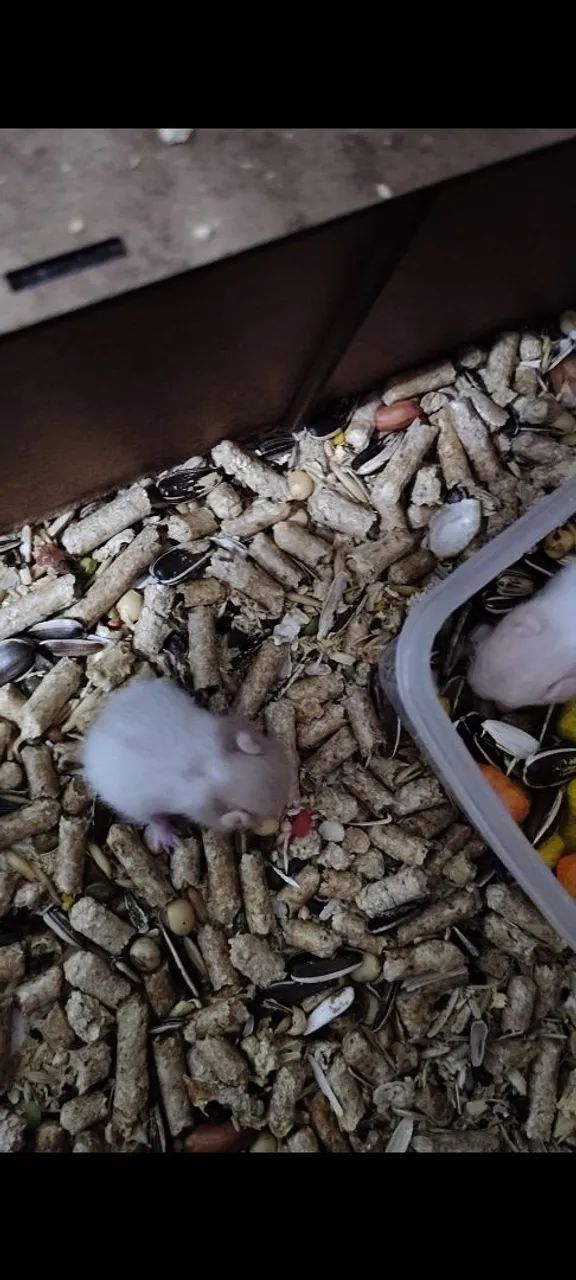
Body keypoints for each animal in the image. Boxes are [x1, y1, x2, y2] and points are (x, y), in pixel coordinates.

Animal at [82, 676, 292, 848]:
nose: (284, 801)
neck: (218, 770)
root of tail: (93, 736)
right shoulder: (203, 810)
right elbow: (224, 820)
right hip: (132, 804)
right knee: (152, 819)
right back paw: (171, 839)